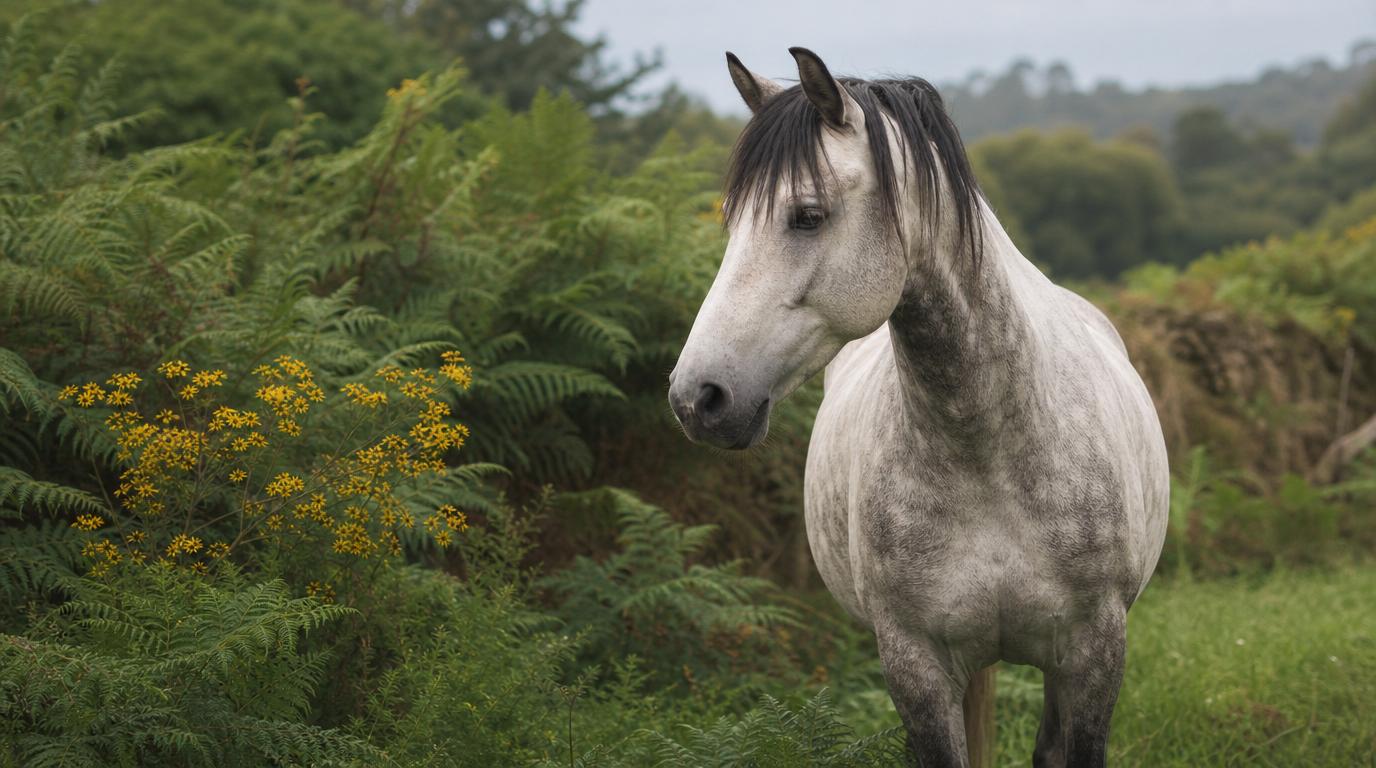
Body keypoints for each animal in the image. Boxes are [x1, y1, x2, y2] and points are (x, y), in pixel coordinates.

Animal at [667, 48, 1169, 767]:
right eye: (732, 221)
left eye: (807, 215)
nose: (697, 398)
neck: (989, 449)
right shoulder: (916, 665)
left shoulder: (1093, 654)